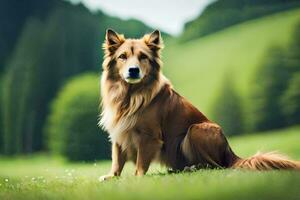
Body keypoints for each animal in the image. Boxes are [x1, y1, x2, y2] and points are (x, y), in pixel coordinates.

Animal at [99, 29, 300, 181]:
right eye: (122, 57)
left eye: (143, 57)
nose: (133, 70)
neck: (130, 94)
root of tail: (231, 153)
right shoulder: (119, 132)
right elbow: (117, 158)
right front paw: (112, 176)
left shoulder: (149, 136)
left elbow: (141, 161)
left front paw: (137, 178)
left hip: (196, 130)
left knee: (217, 166)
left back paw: (193, 168)